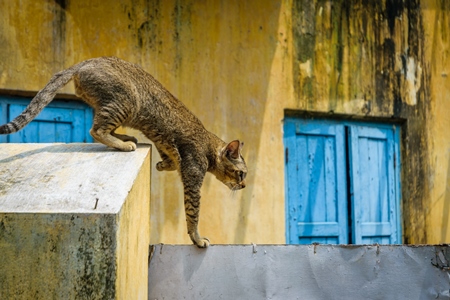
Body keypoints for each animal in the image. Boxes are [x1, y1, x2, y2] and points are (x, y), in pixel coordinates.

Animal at [0, 56, 246, 248]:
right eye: (242, 174)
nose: (244, 186)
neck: (208, 145)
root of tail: (87, 61)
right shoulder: (194, 178)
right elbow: (193, 213)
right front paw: (197, 239)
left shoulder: (162, 139)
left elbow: (166, 153)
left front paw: (163, 164)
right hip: (125, 103)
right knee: (96, 130)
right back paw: (125, 144)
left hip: (114, 107)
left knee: (103, 127)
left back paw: (126, 138)